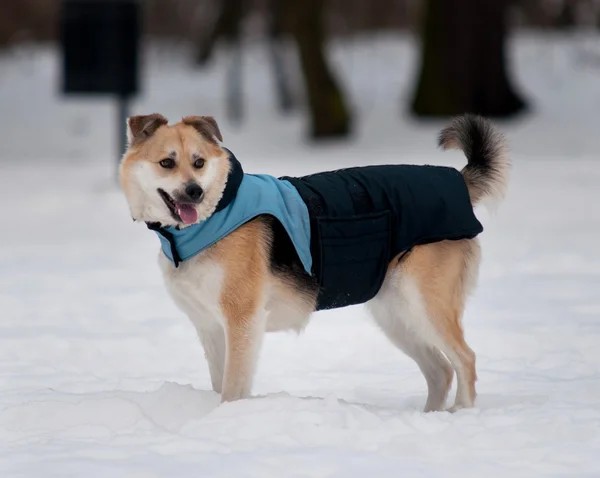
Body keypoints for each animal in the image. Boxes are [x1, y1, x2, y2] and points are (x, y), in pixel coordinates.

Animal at [118, 113, 510, 410]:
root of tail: (457, 180)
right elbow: (219, 383)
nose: (195, 192)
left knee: (465, 360)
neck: (214, 217)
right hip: (397, 315)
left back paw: (460, 414)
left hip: (424, 305)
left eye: (199, 162)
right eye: (167, 163)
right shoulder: (211, 328)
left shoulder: (242, 322)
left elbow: (232, 389)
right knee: (441, 371)